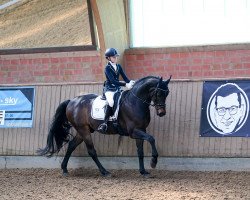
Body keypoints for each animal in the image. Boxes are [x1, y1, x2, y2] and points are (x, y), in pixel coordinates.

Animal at [38, 75, 172, 177]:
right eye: (158, 92)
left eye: (167, 93)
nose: (162, 113)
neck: (135, 102)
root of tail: (72, 101)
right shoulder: (134, 132)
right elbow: (151, 139)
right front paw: (153, 162)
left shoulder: (141, 130)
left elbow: (140, 151)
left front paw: (143, 171)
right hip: (84, 130)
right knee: (91, 151)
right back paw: (105, 172)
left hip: (82, 131)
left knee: (71, 145)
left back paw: (64, 169)